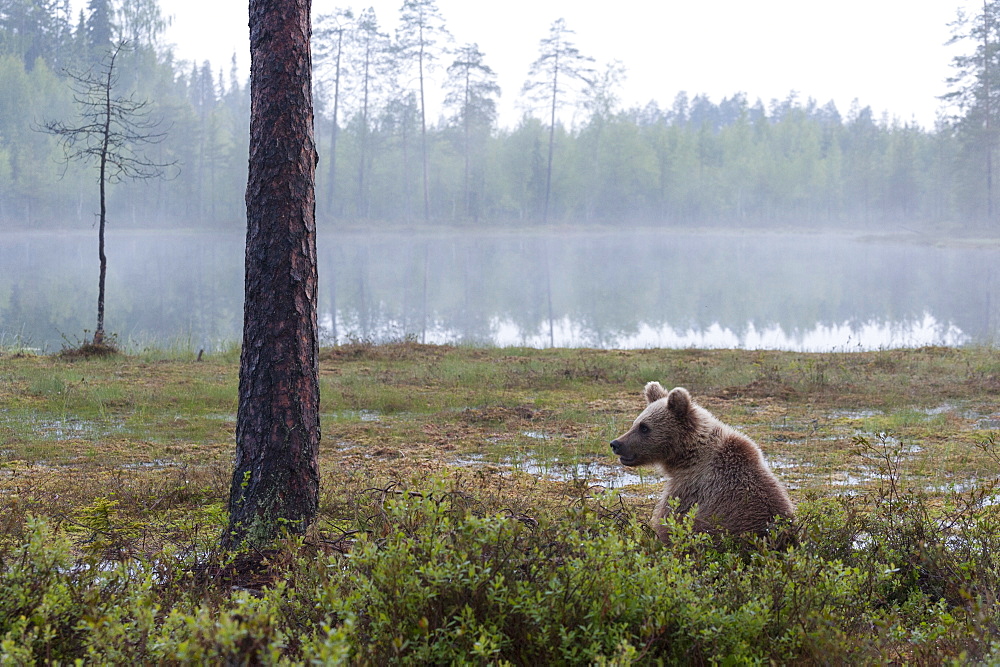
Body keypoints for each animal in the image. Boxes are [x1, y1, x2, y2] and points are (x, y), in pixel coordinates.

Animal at [608, 380, 796, 544]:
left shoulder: (691, 488)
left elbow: (670, 522)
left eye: (644, 427)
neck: (687, 457)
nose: (616, 444)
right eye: (635, 423)